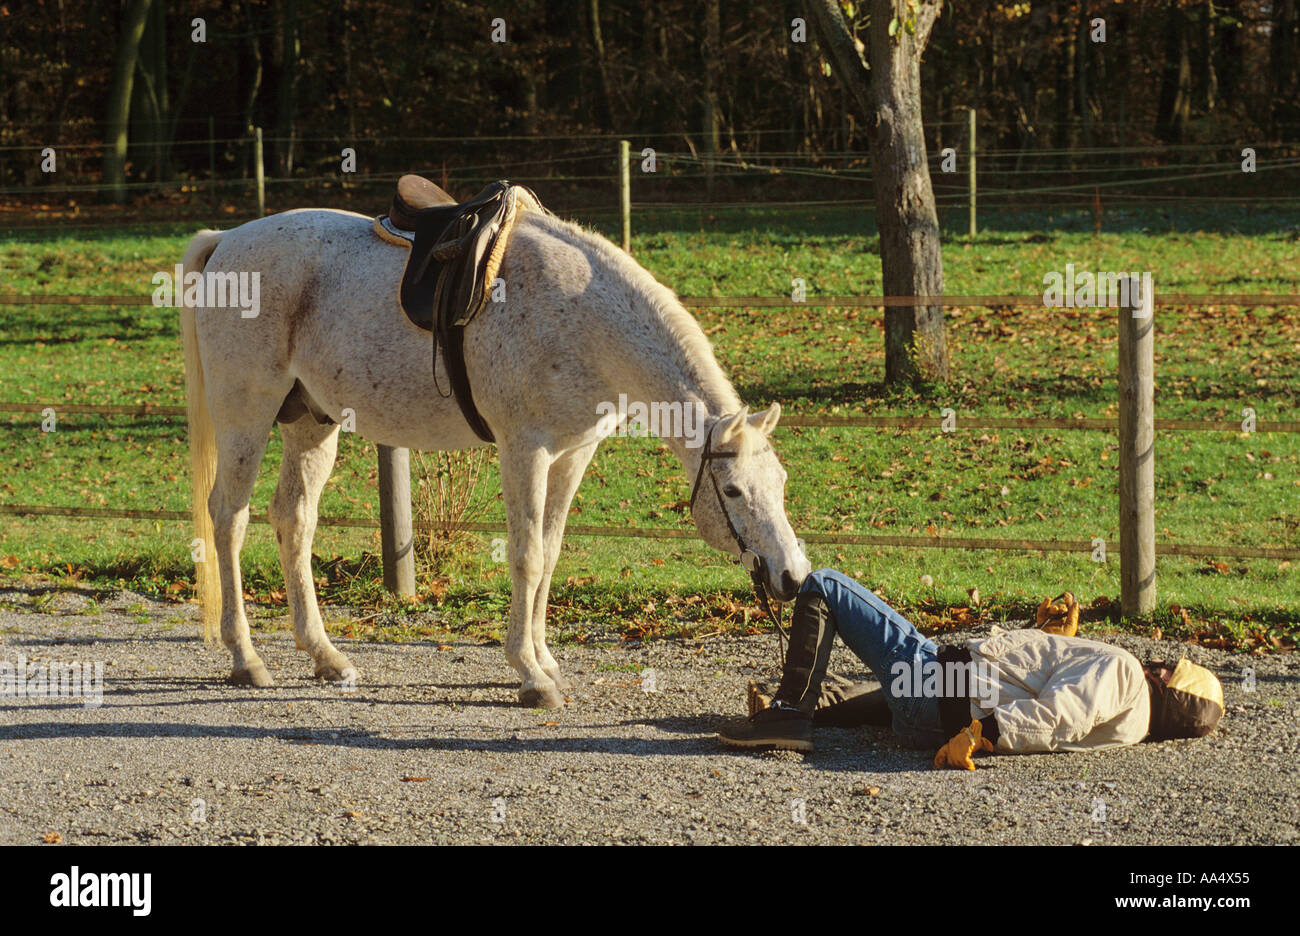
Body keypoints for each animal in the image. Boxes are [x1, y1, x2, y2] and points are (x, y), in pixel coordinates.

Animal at [180, 198, 811, 707]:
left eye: (781, 483)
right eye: (732, 490)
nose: (794, 577)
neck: (579, 315)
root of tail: (226, 241)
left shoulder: (572, 454)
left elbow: (550, 554)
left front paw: (546, 660)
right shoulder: (524, 450)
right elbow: (527, 556)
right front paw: (530, 675)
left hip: (312, 423)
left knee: (294, 520)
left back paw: (326, 658)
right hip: (246, 416)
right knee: (229, 518)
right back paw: (246, 659)